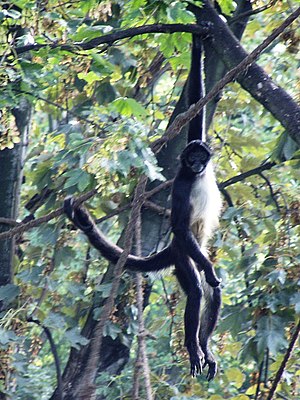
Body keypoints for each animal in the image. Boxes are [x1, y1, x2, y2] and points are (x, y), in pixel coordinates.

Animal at [64, 33, 221, 378]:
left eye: (200, 156)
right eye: (190, 159)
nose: (196, 163)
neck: (194, 176)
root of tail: (173, 250)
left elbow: (197, 113)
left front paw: (198, 46)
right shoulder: (181, 186)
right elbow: (179, 225)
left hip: (190, 251)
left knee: (213, 292)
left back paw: (204, 347)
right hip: (184, 254)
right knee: (197, 289)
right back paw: (193, 346)